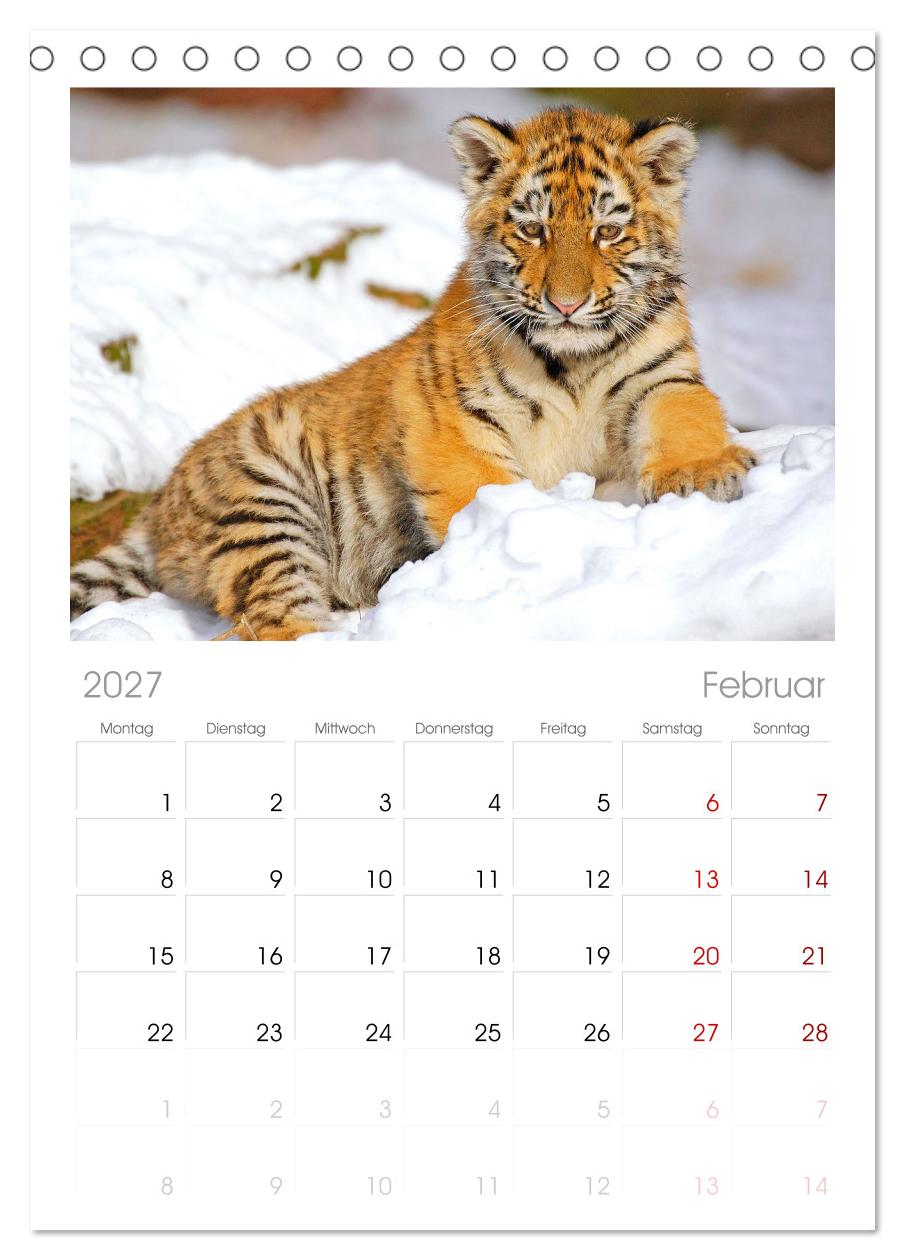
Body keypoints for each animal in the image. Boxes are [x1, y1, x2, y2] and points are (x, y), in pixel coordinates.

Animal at [70, 106, 755, 640]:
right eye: (532, 229)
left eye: (607, 231)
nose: (566, 304)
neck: (573, 358)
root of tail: (161, 502)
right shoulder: (452, 418)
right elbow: (483, 490)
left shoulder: (662, 377)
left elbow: (685, 416)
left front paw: (701, 473)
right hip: (265, 503)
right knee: (265, 621)